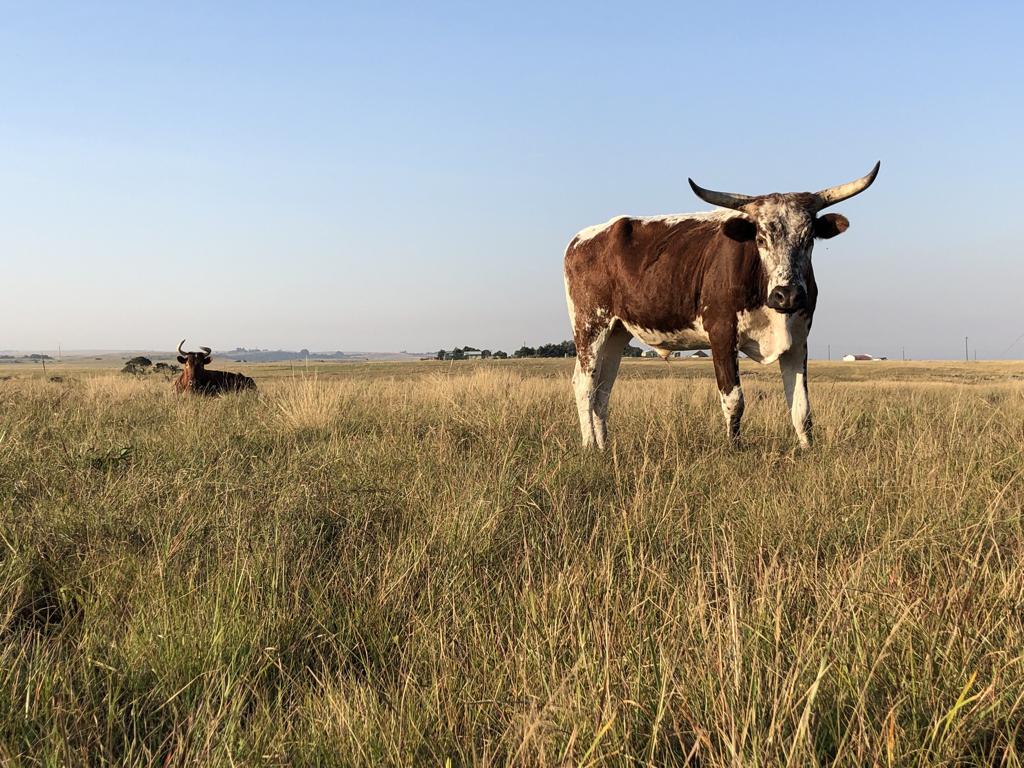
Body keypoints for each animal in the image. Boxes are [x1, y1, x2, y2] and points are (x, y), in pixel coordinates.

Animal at [561, 162, 880, 450]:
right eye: (760, 238)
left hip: (617, 332)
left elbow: (802, 408)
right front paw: (733, 448)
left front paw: (806, 450)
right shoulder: (722, 334)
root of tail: (583, 238)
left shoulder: (798, 341)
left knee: (603, 388)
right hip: (590, 325)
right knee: (585, 384)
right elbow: (734, 399)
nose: (786, 295)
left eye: (809, 238)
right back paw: (589, 446)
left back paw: (604, 447)